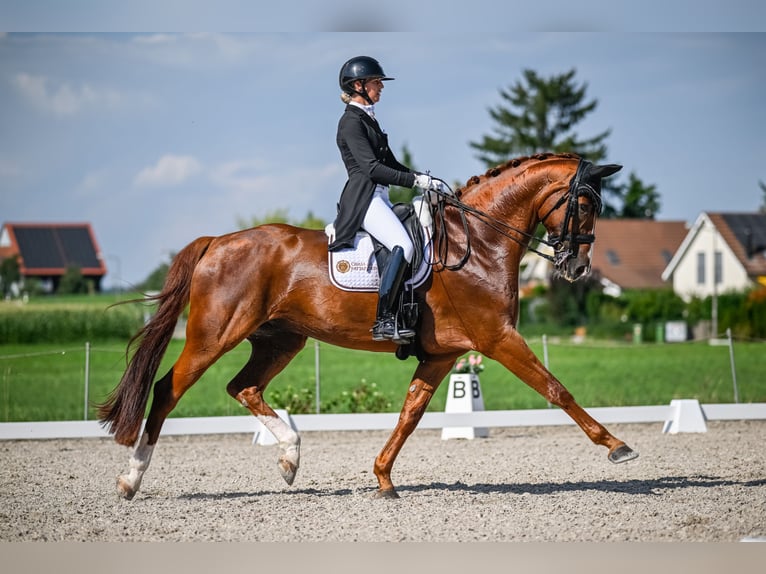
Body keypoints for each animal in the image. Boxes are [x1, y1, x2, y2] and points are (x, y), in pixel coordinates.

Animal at [97, 152, 636, 500]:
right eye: (584, 204)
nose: (577, 267)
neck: (478, 242)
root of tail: (217, 241)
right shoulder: (498, 338)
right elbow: (556, 389)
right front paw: (618, 448)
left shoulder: (443, 353)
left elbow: (410, 413)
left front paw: (382, 479)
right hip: (215, 334)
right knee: (167, 390)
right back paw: (130, 480)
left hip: (282, 339)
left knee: (243, 387)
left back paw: (290, 458)